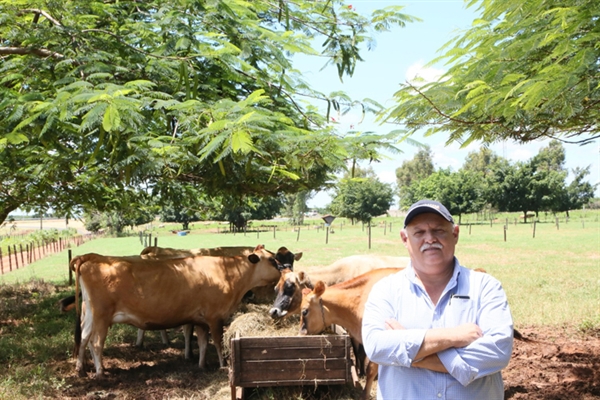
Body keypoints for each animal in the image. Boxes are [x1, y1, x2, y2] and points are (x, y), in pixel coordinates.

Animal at [72, 244, 284, 378]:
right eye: (272, 260)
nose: (285, 270)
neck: (227, 274)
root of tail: (92, 258)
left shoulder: (200, 319)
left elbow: (203, 343)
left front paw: (201, 365)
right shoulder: (215, 317)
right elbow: (217, 342)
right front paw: (223, 365)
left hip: (90, 314)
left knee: (83, 338)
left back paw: (81, 369)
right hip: (102, 315)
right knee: (96, 343)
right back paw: (100, 373)